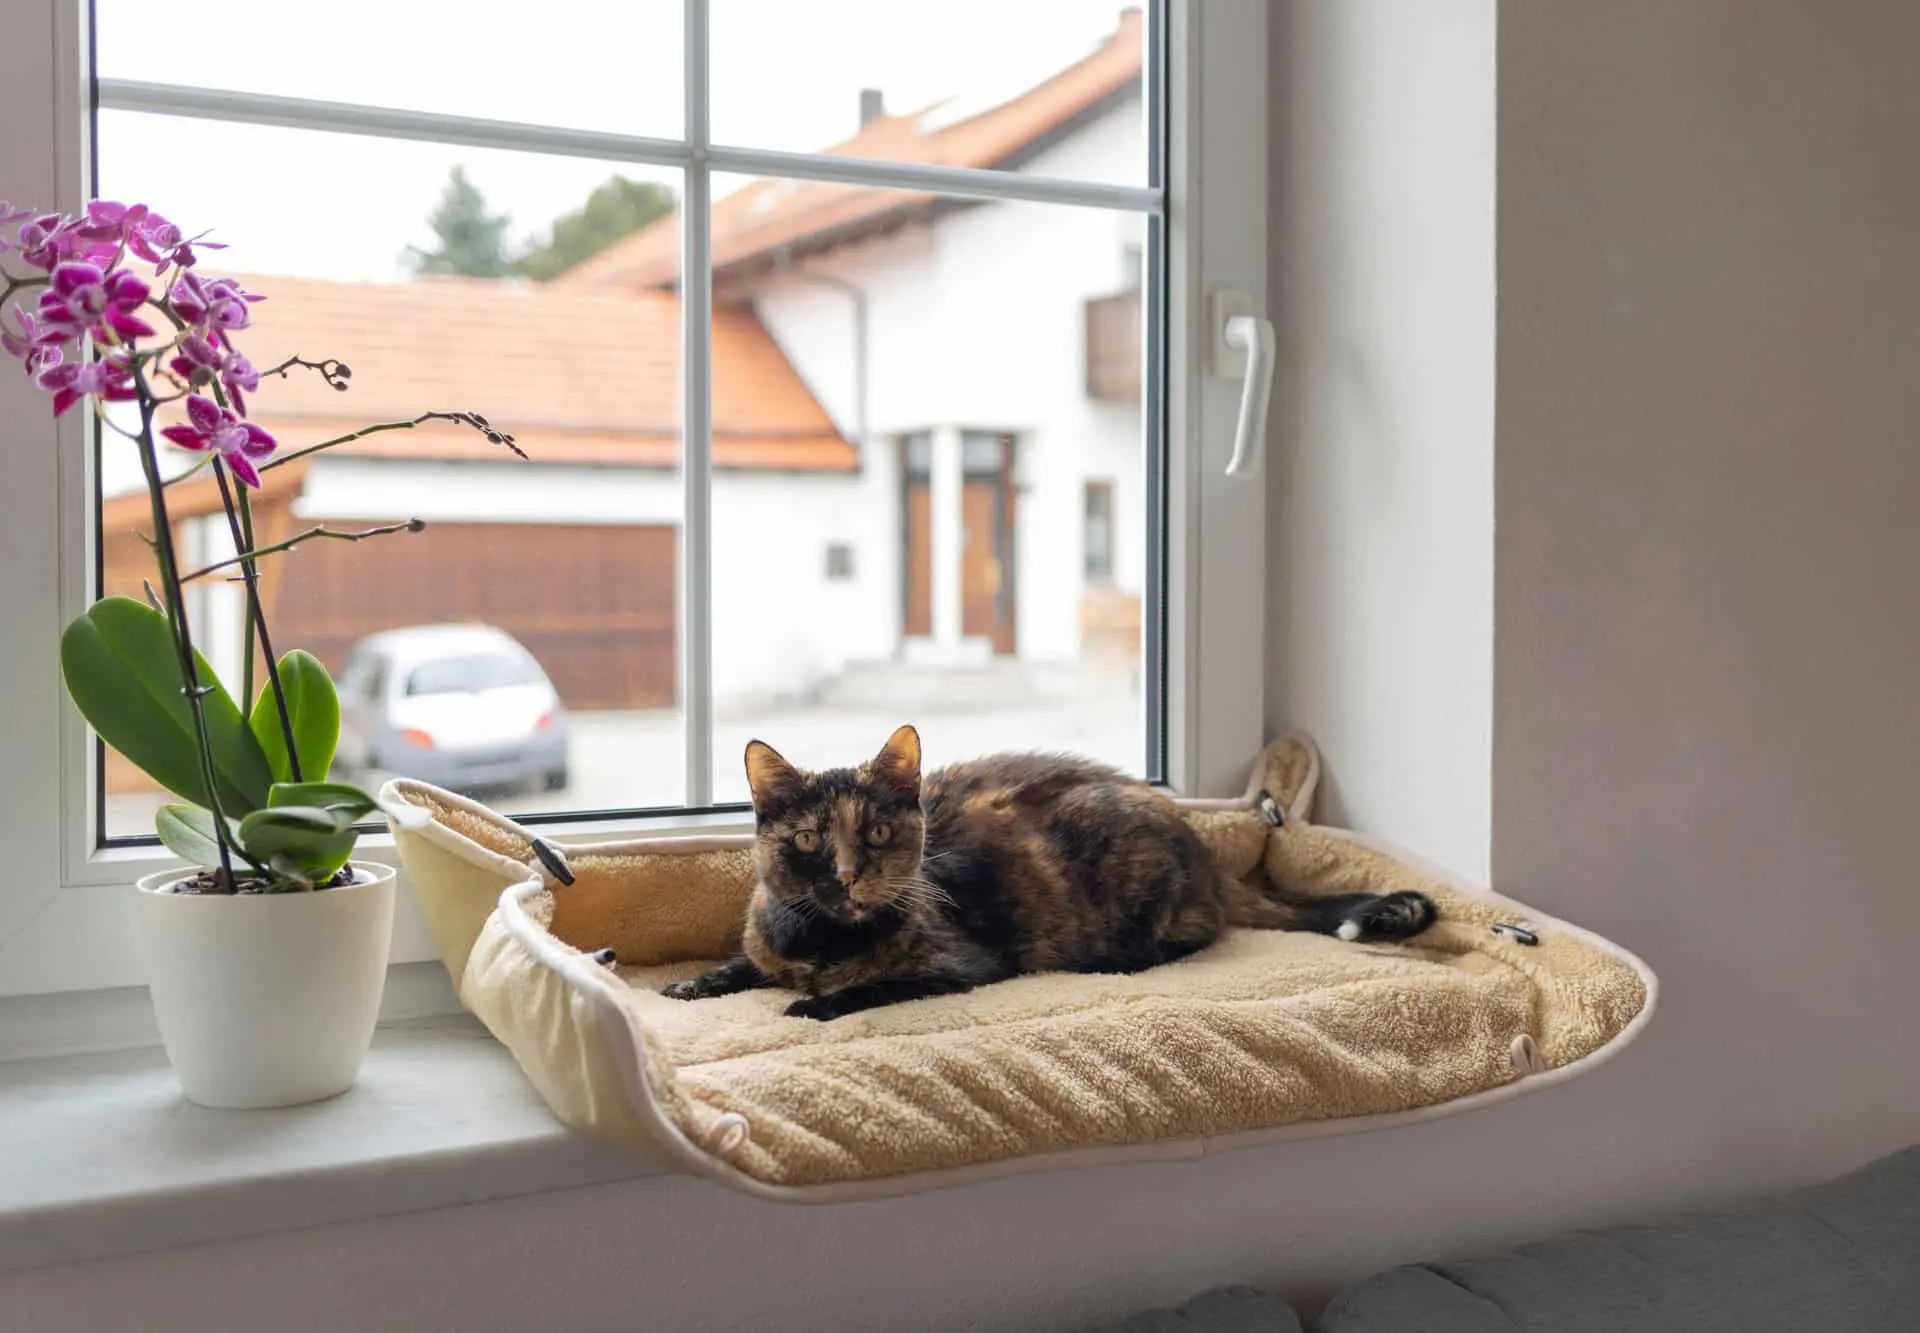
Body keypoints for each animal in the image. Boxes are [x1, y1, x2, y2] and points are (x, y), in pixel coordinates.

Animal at [662, 726, 1436, 1020]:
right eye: (809, 840)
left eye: (877, 832)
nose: (849, 875)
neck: (821, 944)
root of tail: (1207, 854)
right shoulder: (767, 939)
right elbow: (743, 961)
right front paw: (695, 984)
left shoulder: (962, 964)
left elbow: (876, 987)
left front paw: (813, 1005)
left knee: (1185, 938)